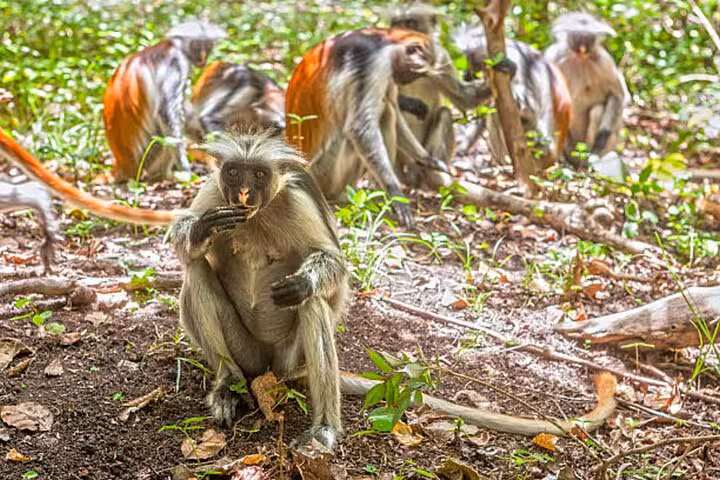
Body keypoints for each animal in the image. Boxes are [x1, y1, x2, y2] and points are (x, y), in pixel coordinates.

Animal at [103, 21, 226, 182]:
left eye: (208, 47)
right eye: (197, 46)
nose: (202, 58)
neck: (172, 45)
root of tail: (123, 164)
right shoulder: (176, 62)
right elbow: (166, 112)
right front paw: (187, 171)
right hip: (149, 155)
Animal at [169, 128, 349, 450]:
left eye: (259, 175)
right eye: (233, 172)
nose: (242, 192)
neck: (257, 216)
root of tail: (267, 368)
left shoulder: (298, 202)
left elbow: (335, 264)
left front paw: (304, 283)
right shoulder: (215, 192)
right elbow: (185, 241)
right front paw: (200, 231)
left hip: (288, 360)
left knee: (311, 303)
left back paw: (324, 427)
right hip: (245, 353)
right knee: (196, 271)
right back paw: (229, 384)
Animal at [285, 27, 506, 228]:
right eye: (415, 72)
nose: (406, 80)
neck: (385, 39)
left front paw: (427, 159)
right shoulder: (375, 63)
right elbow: (360, 126)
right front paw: (394, 192)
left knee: (388, 110)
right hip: (327, 171)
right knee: (378, 117)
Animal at [454, 24, 572, 169]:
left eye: (473, 67)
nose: (465, 75)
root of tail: (553, 155)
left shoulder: (513, 57)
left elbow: (528, 109)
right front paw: (464, 144)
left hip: (536, 145)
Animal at [545, 13, 628, 157]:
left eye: (589, 38)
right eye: (578, 36)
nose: (583, 47)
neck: (579, 58)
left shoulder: (604, 62)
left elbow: (618, 95)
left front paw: (602, 136)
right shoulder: (553, 56)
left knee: (597, 110)